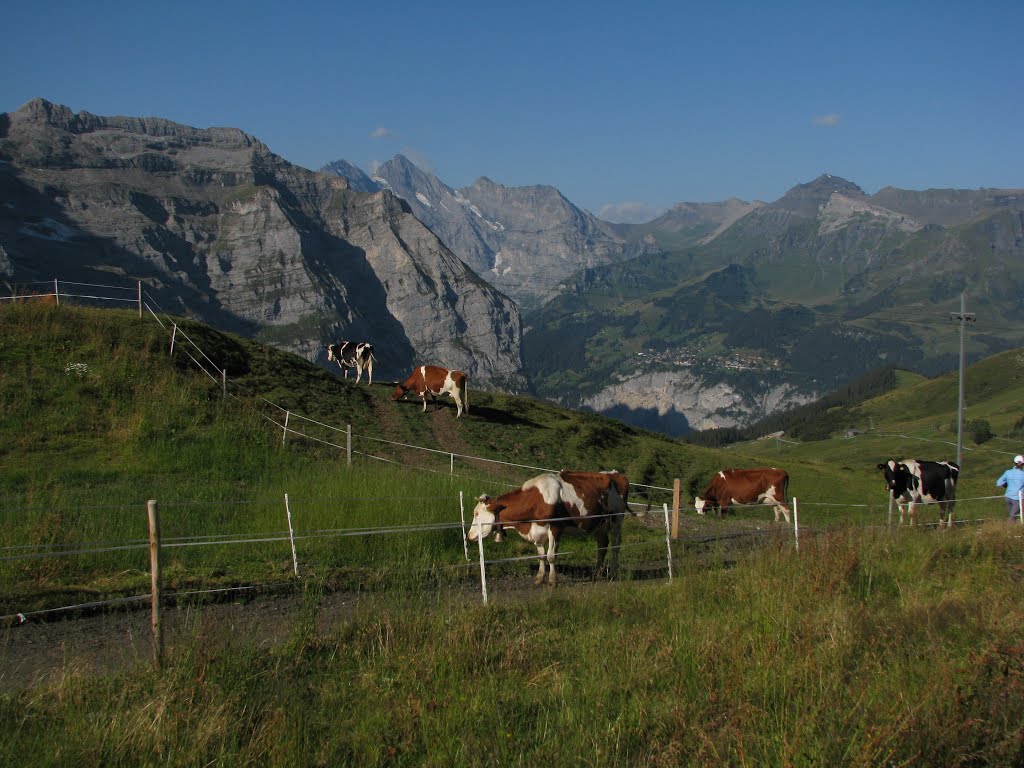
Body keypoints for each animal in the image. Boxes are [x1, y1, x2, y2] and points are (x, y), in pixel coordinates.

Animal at [471, 468, 630, 589]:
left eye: (477, 513)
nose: (469, 536)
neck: (537, 499)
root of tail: (615, 474)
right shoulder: (536, 531)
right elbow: (541, 555)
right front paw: (539, 578)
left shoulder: (555, 527)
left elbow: (551, 556)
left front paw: (553, 581)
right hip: (599, 524)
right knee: (602, 546)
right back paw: (596, 573)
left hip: (616, 519)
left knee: (616, 546)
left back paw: (613, 572)